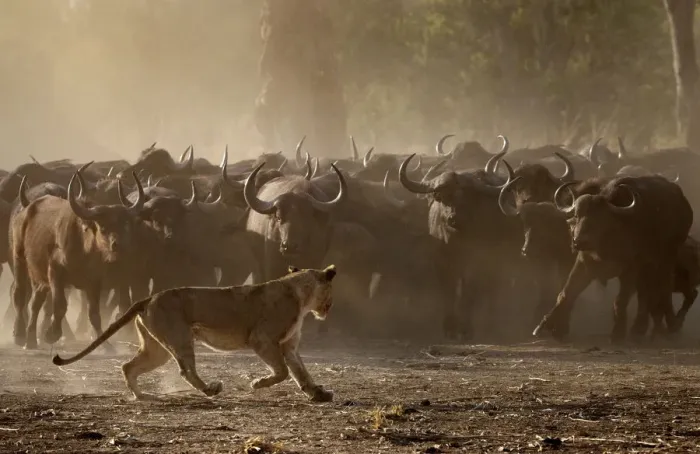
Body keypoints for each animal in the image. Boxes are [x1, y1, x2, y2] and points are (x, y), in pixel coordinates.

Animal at [52, 264, 337, 402]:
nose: (330, 307)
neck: (302, 295)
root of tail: (149, 297)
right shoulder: (262, 339)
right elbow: (283, 372)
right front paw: (257, 383)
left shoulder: (288, 345)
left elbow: (301, 371)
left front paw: (318, 394)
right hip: (179, 338)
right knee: (185, 370)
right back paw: (210, 389)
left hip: (156, 349)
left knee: (127, 367)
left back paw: (141, 396)